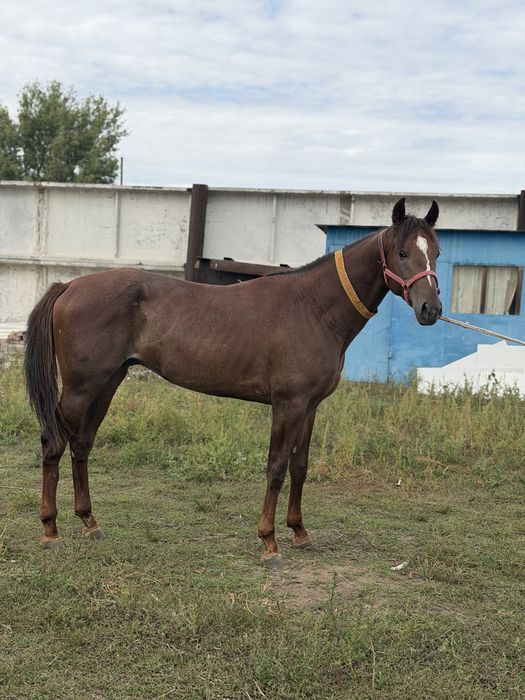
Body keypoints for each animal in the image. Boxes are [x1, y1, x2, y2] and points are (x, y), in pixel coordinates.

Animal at [24, 197, 441, 566]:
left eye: (435, 252)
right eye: (402, 252)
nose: (431, 309)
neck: (312, 308)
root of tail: (70, 286)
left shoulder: (309, 406)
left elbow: (300, 466)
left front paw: (300, 532)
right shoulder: (288, 405)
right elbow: (276, 467)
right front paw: (270, 543)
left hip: (107, 383)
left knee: (82, 444)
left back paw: (89, 523)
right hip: (80, 388)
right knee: (53, 443)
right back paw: (50, 530)